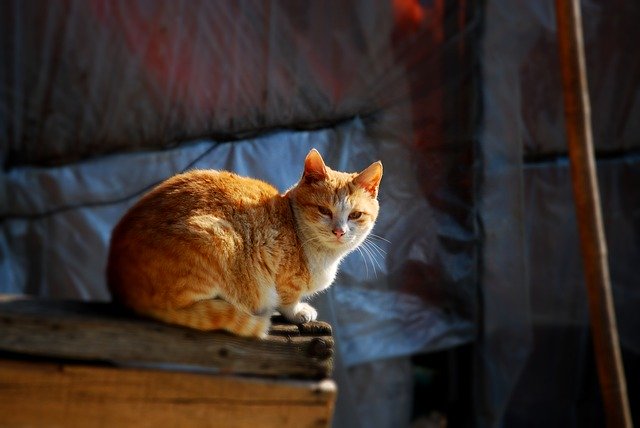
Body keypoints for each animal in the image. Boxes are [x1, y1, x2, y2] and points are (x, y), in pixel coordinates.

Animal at [107, 150, 382, 338]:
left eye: (355, 215)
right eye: (323, 210)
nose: (339, 231)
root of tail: (122, 288)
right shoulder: (281, 273)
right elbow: (287, 299)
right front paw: (297, 312)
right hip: (217, 236)